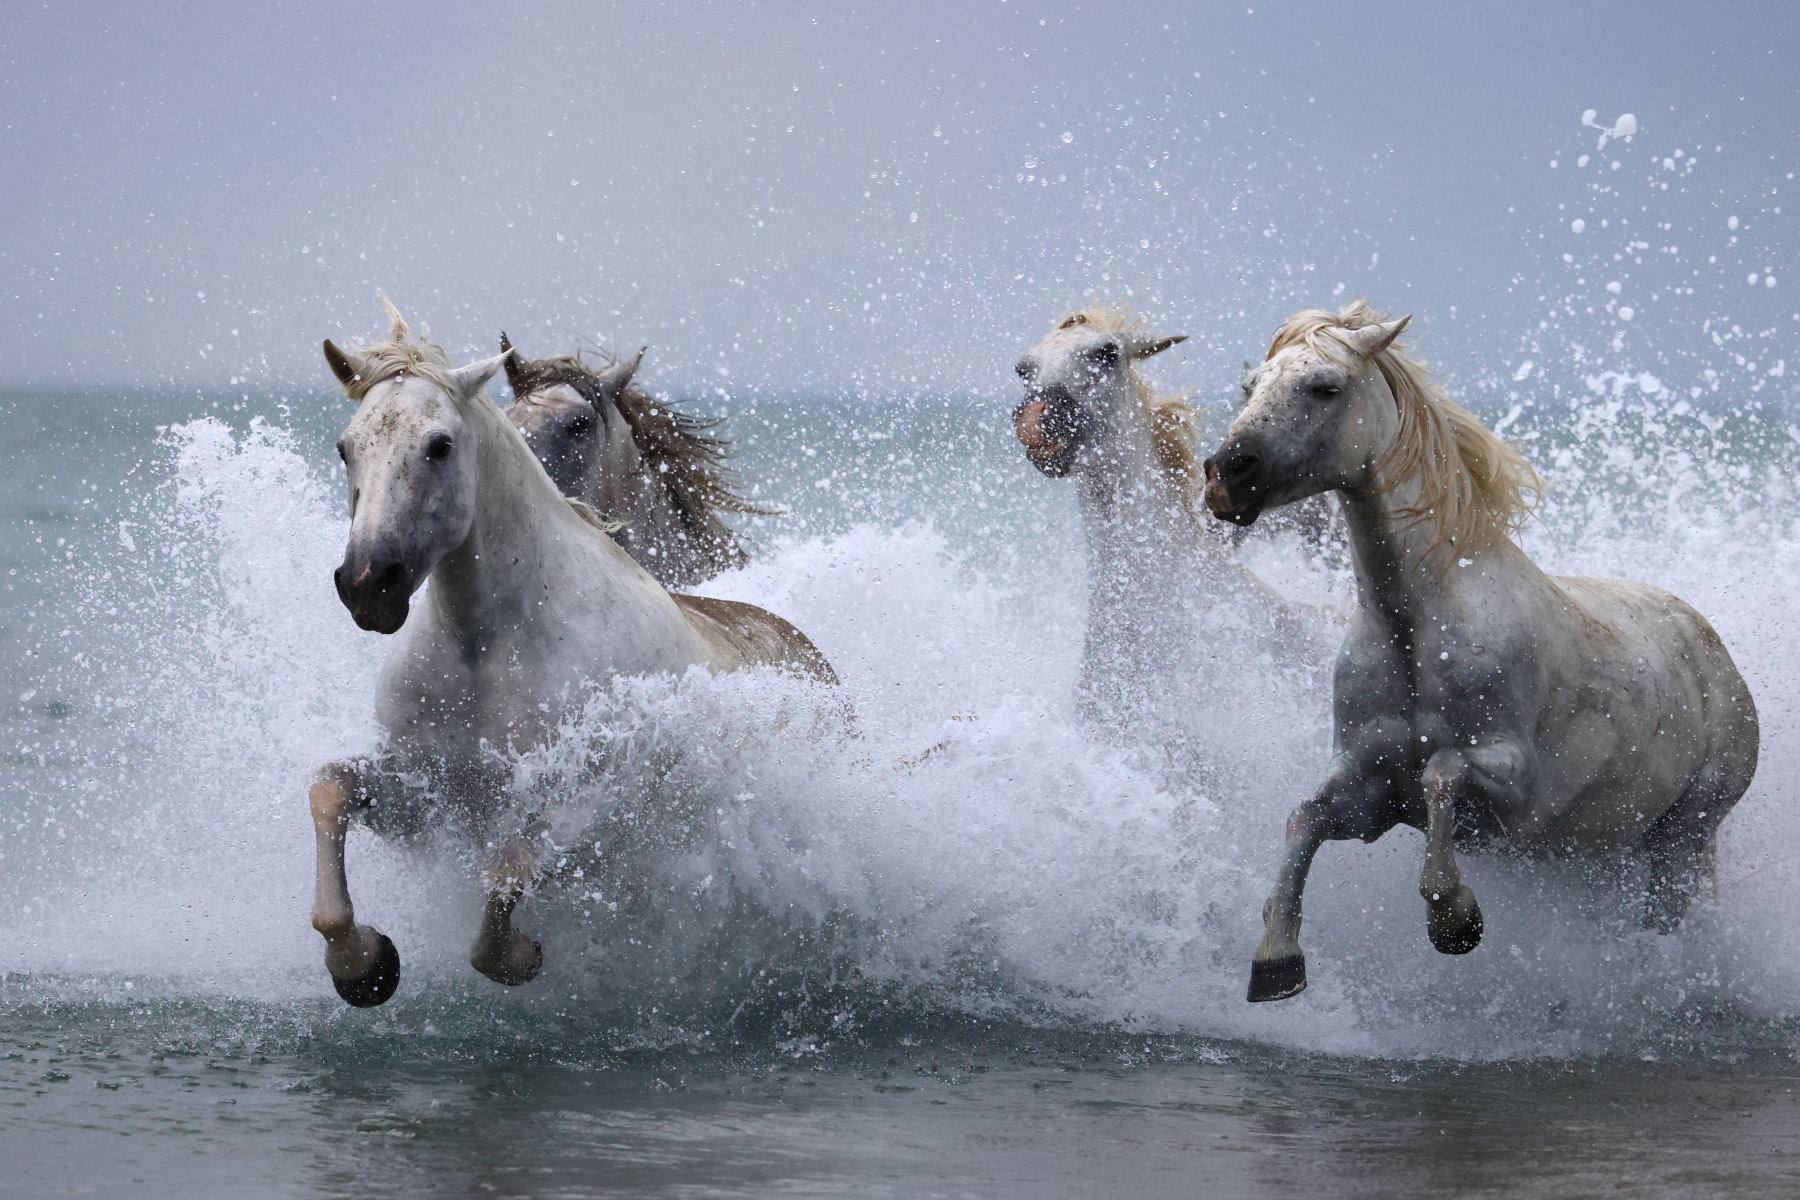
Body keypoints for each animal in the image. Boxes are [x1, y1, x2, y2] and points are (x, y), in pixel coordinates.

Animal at [1201, 299, 1759, 1003]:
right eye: (1249, 388)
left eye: (1323, 386)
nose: (1225, 475)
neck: (1416, 632)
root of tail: (1709, 641)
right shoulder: (1369, 792)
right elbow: (1304, 818)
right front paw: (1276, 958)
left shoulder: (1514, 790)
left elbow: (1442, 770)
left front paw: (1453, 916)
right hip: (1605, 856)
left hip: (1683, 839)